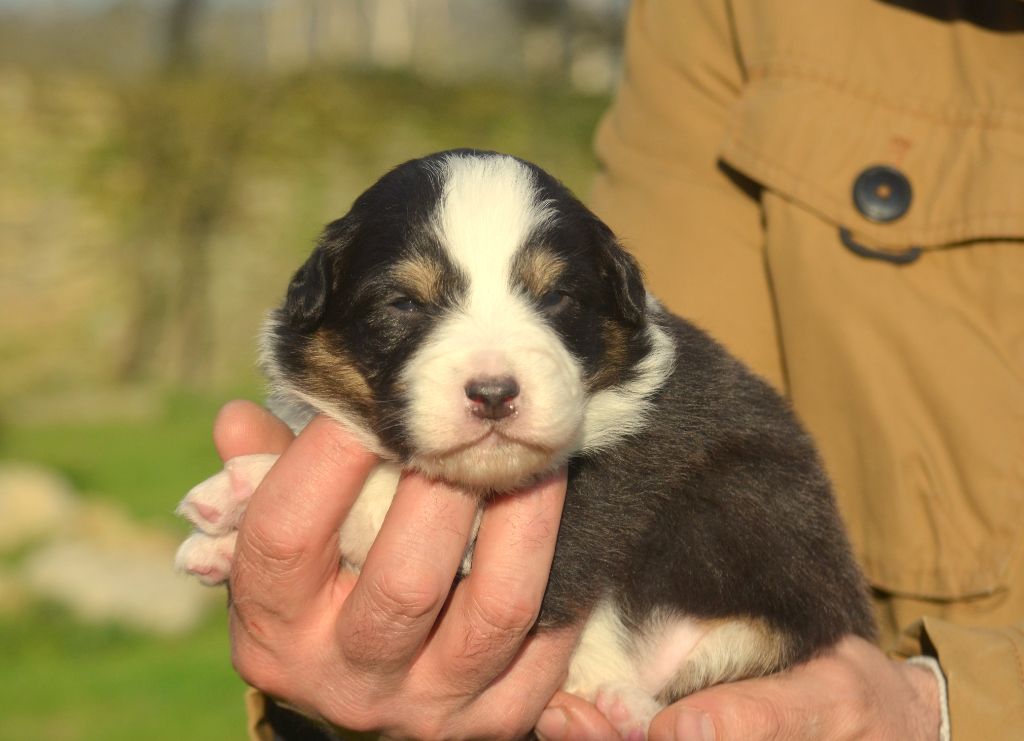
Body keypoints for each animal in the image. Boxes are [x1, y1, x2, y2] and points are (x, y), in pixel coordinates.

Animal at [174, 149, 872, 736]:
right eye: (404, 303)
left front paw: (241, 487)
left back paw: (629, 705)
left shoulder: (597, 510)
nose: (493, 393)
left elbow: (378, 498)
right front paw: (224, 540)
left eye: (556, 295)